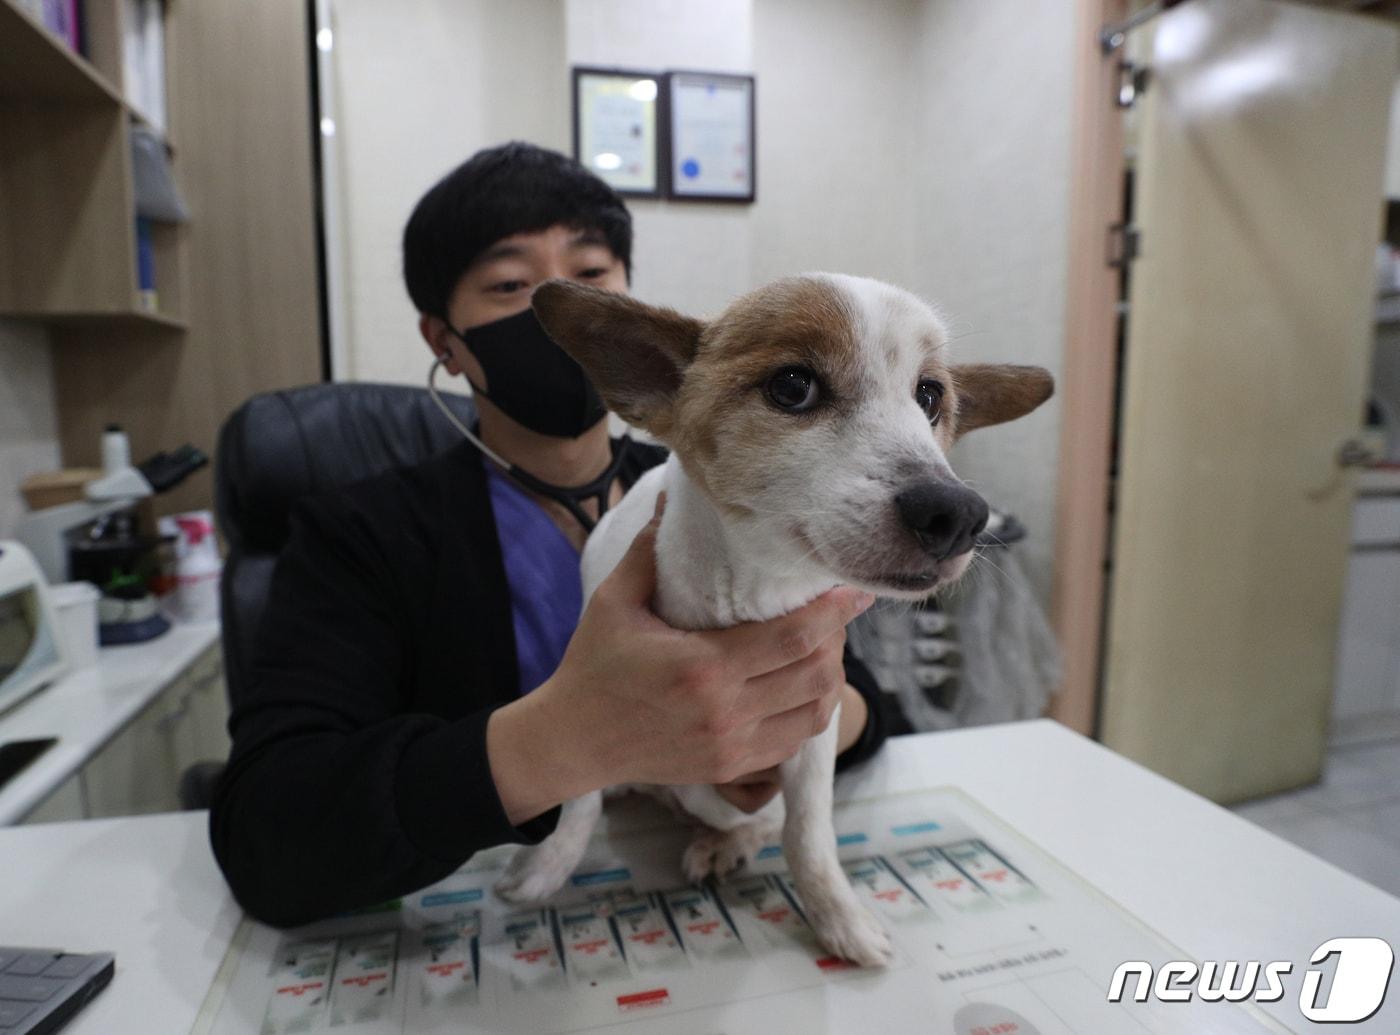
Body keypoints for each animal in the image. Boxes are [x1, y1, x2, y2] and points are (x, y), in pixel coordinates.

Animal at [492, 271, 1052, 969]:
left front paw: (837, 915)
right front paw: (549, 865)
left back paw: (723, 843)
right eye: (792, 386)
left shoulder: (815, 724)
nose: (959, 514)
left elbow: (807, 835)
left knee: (754, 818)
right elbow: (580, 793)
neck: (751, 590)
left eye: (930, 397)